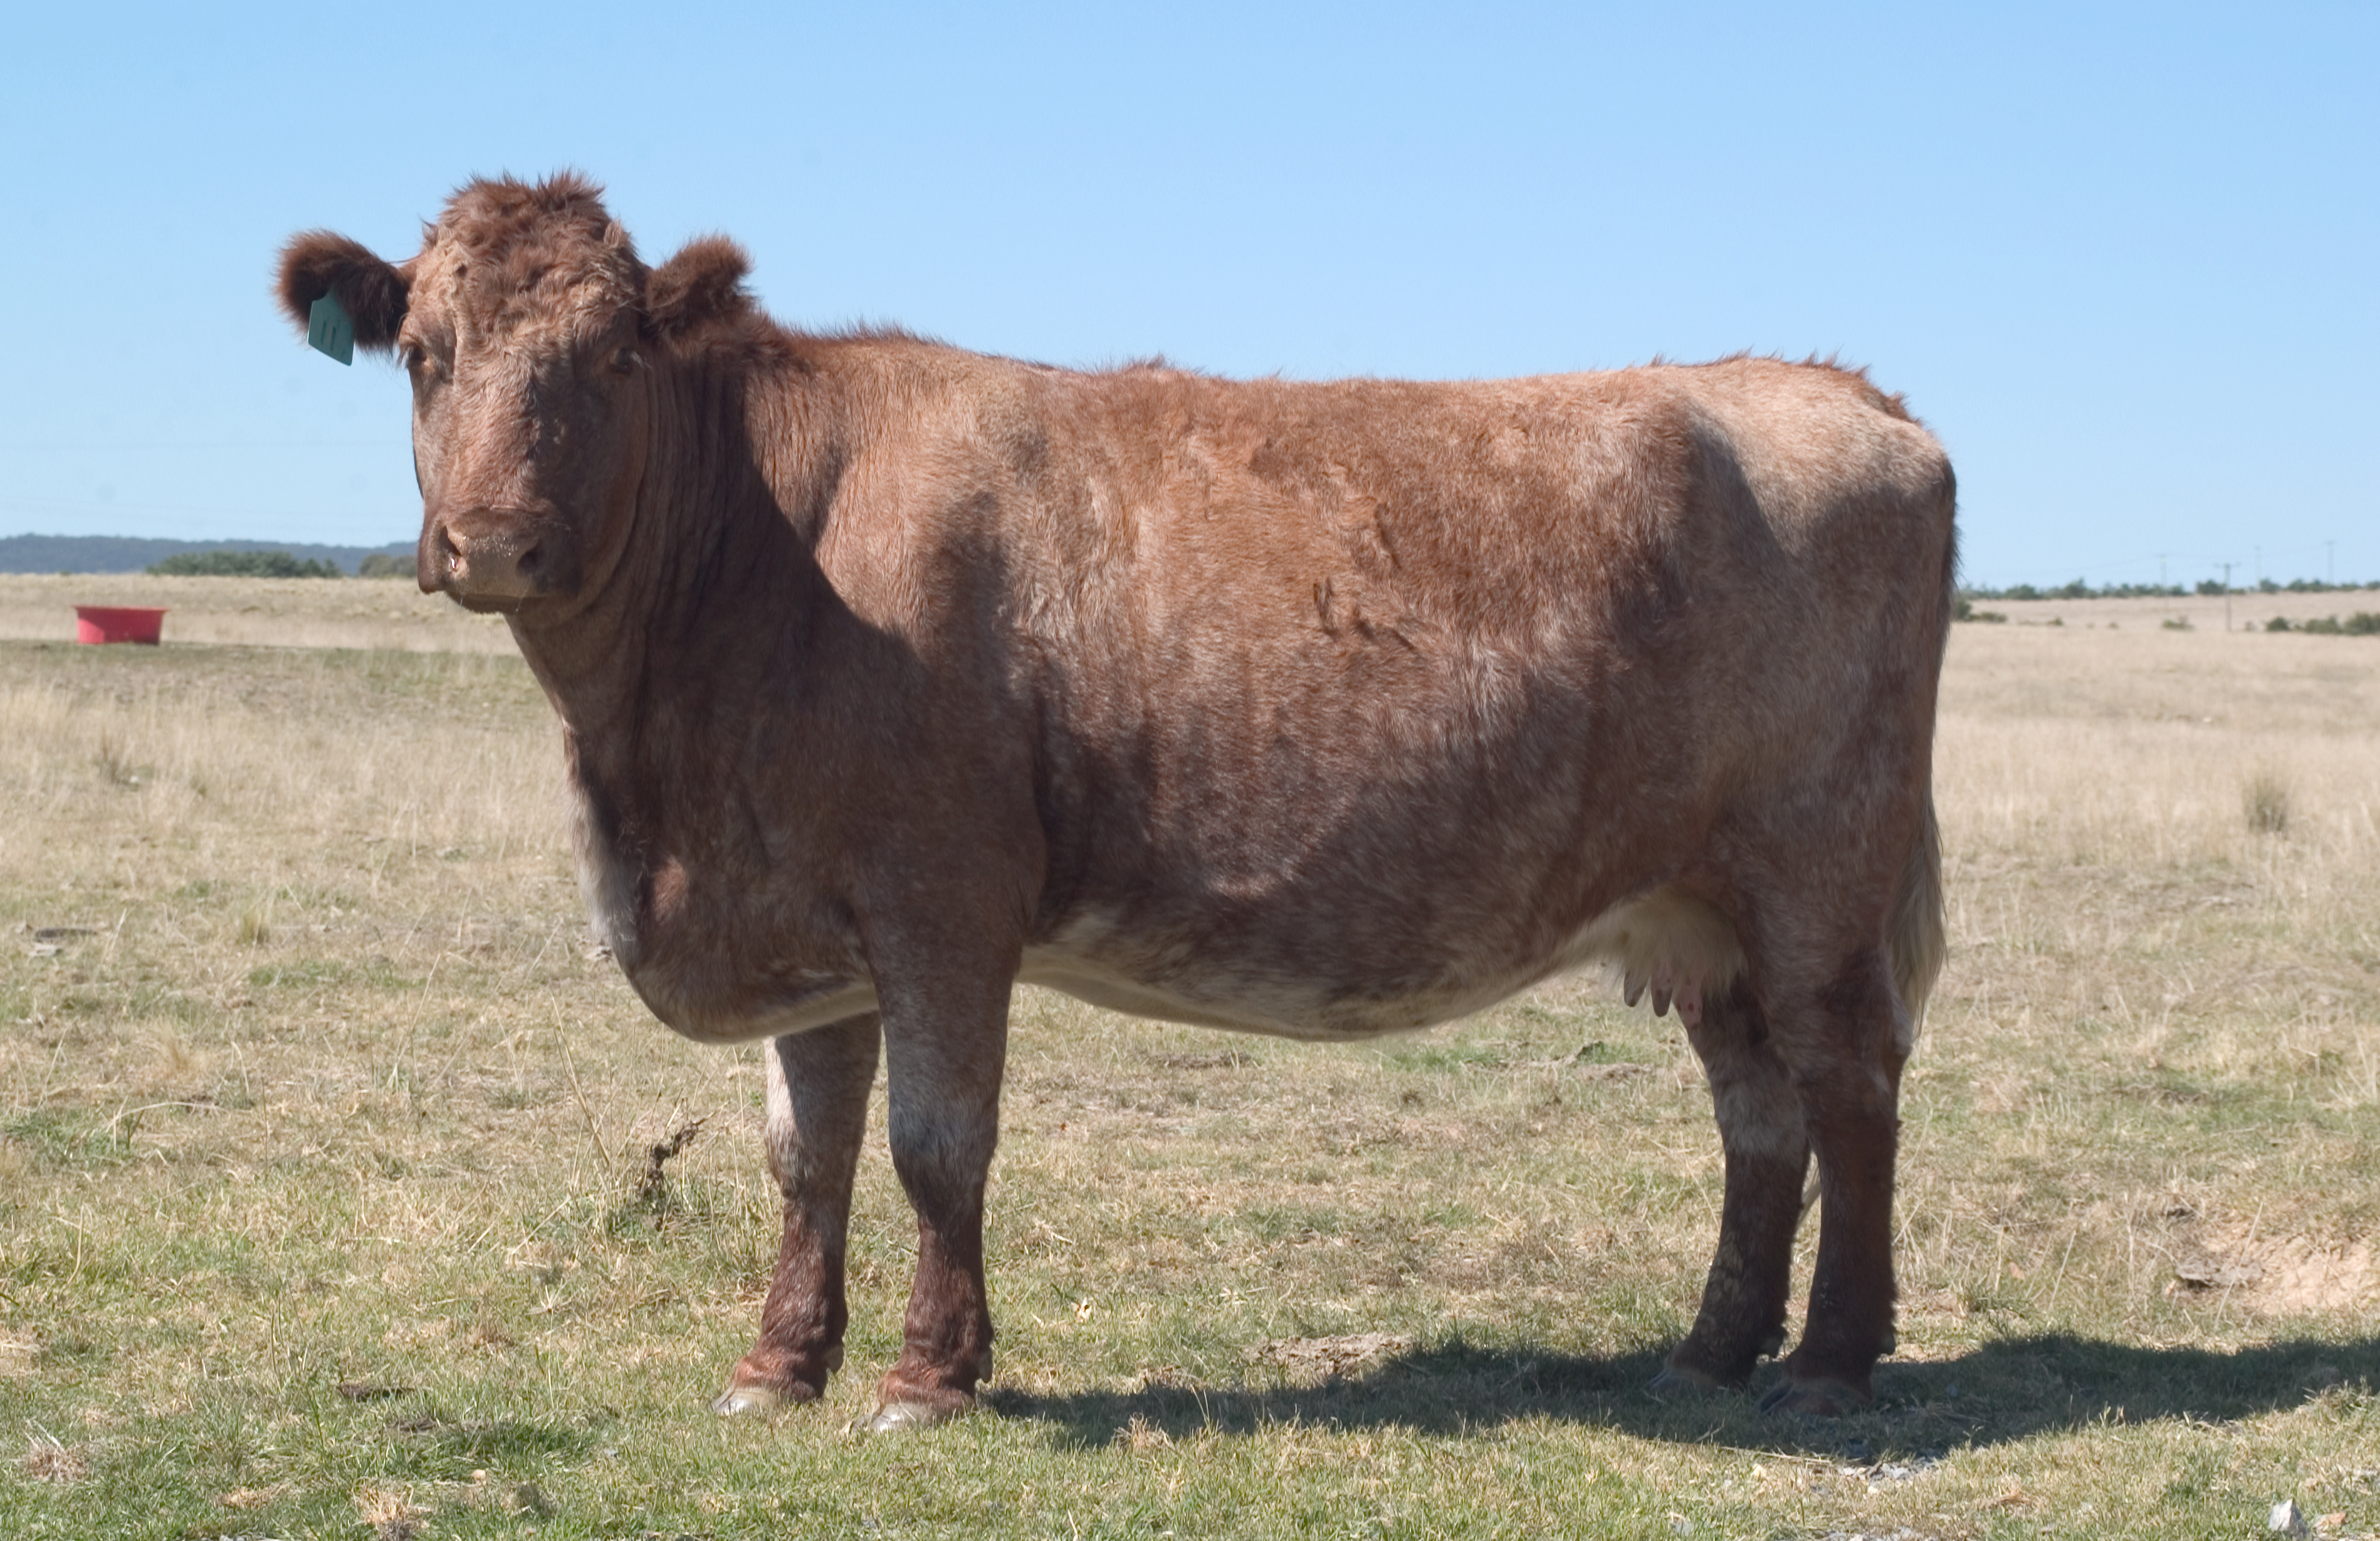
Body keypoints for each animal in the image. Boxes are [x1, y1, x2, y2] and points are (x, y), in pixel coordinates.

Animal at [277, 173, 1955, 1432]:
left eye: (611, 358)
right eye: (424, 351)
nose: (494, 539)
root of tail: (1830, 388)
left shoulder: (943, 899)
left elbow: (935, 1144)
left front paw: (926, 1379)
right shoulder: (804, 916)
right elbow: (807, 1156)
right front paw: (777, 1366)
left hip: (1818, 879)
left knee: (1849, 1089)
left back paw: (1827, 1362)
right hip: (1699, 911)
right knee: (1758, 1116)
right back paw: (1710, 1352)